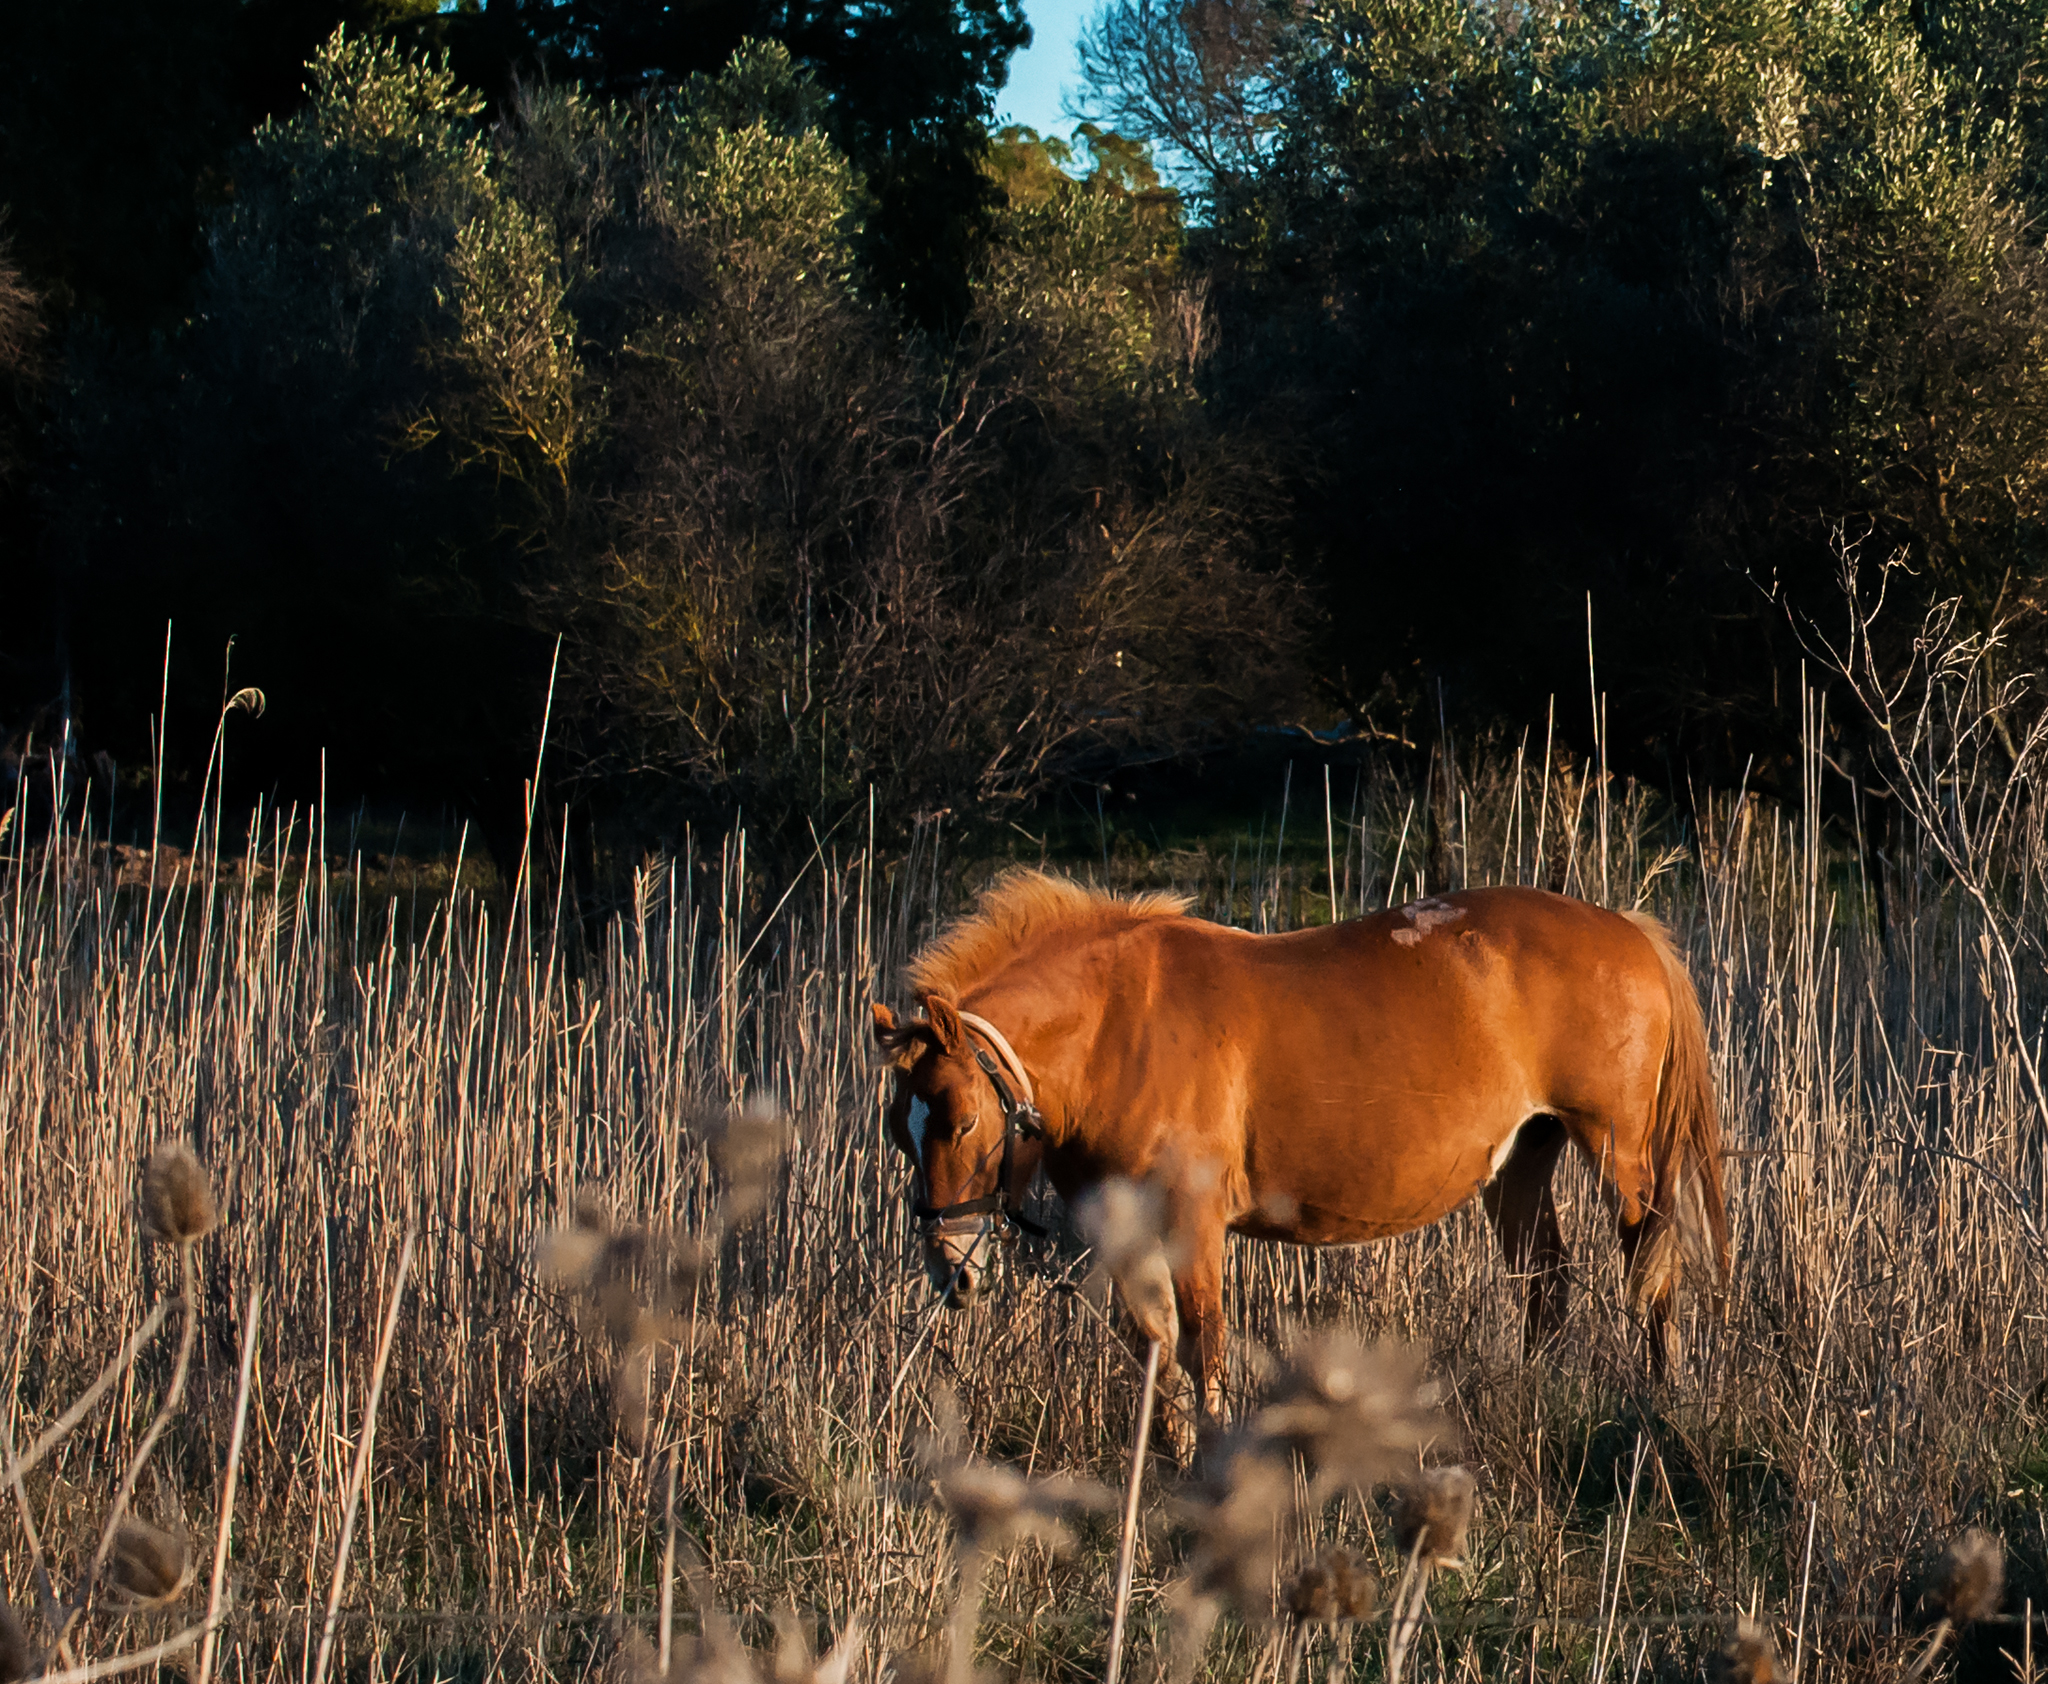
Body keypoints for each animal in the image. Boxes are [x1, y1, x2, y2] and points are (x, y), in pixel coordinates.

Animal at [871, 871, 1730, 1456]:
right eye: (898, 1133)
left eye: (961, 1120)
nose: (949, 1267)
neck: (1120, 1025)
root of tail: (1625, 928)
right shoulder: (1128, 1231)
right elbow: (1152, 1346)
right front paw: (1165, 1464)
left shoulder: (1193, 1223)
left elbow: (1202, 1342)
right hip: (1524, 1157)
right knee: (1545, 1282)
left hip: (1619, 1153)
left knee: (1650, 1271)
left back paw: (1658, 1404)